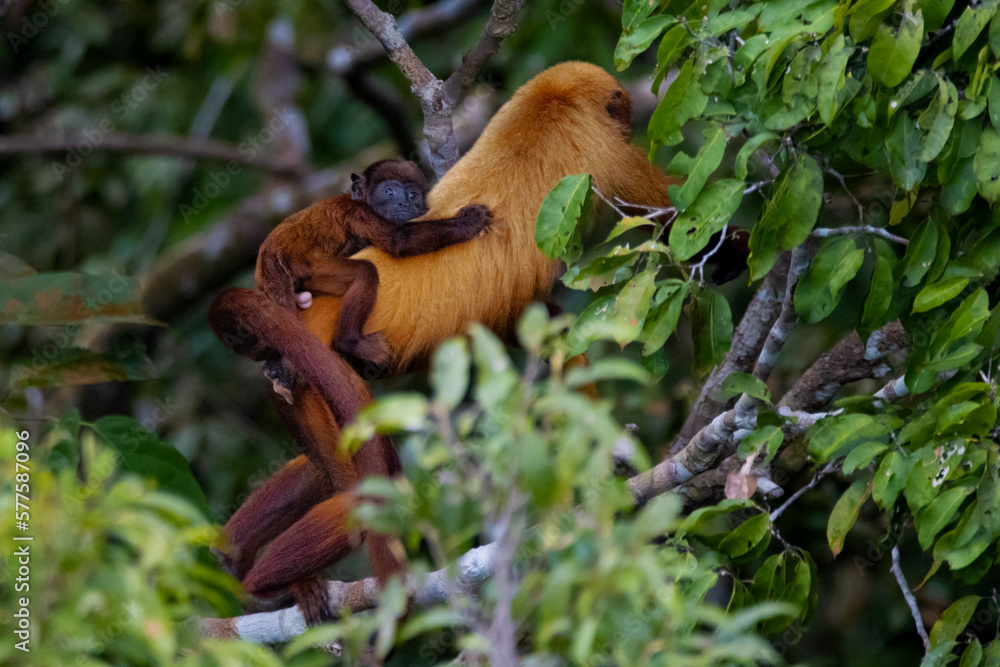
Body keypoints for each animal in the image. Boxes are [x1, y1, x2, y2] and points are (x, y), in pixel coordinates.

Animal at [255, 158, 492, 373]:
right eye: (389, 192)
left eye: (412, 195)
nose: (404, 204)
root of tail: (267, 256)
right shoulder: (359, 212)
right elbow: (400, 241)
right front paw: (469, 222)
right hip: (305, 266)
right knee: (365, 272)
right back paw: (350, 342)